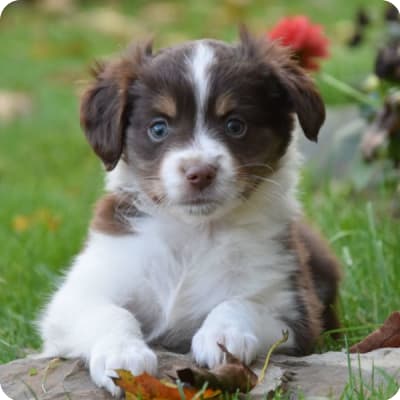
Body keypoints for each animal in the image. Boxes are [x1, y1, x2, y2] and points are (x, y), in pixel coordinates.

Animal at [38, 29, 340, 396]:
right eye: (158, 128)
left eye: (235, 125)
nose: (199, 173)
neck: (193, 233)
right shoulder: (75, 297)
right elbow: (108, 313)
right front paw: (122, 356)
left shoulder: (297, 313)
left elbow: (242, 302)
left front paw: (222, 336)